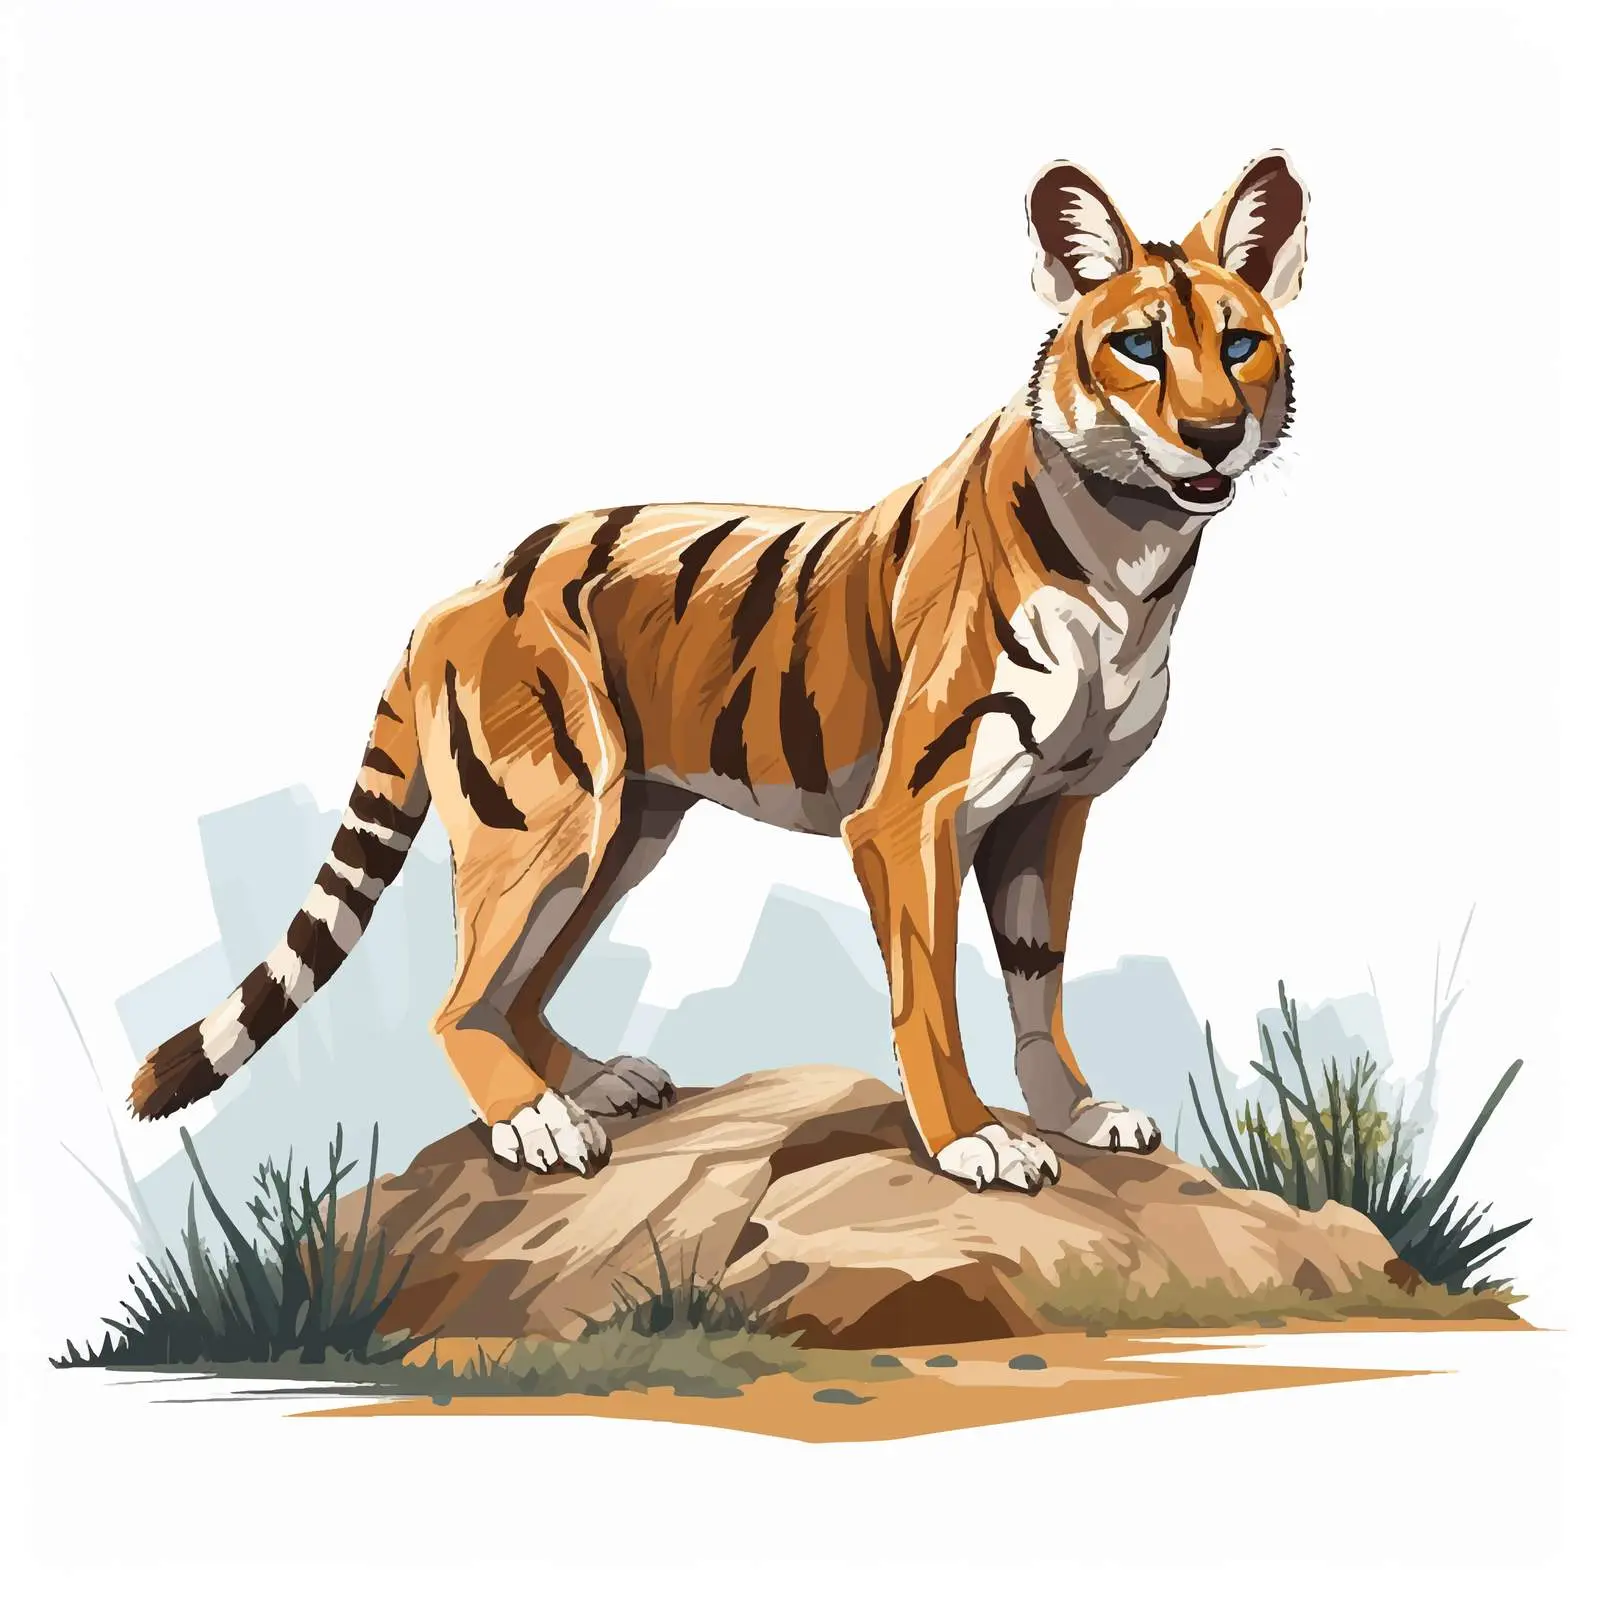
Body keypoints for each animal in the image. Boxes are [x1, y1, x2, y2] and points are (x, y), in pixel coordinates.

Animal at [129, 152, 1307, 1195]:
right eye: (1141, 345)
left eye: (1240, 342)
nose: (1212, 434)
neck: (1133, 557)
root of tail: (467, 588)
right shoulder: (909, 817)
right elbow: (929, 999)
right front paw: (974, 1140)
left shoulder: (1050, 808)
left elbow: (1037, 977)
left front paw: (1073, 1110)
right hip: (548, 823)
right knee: (458, 1000)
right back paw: (537, 1125)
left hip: (621, 832)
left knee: (515, 988)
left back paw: (592, 1084)